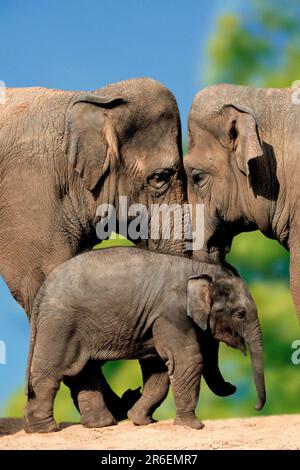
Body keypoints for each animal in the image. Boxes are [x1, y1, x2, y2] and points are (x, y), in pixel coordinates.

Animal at [24, 246, 266, 434]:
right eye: (240, 314)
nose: (234, 387)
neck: (198, 268)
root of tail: (42, 291)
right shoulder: (171, 314)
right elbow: (187, 361)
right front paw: (193, 426)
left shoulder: (158, 320)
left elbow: (159, 369)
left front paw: (140, 420)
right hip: (60, 324)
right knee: (51, 374)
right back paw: (45, 429)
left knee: (83, 370)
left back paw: (101, 425)